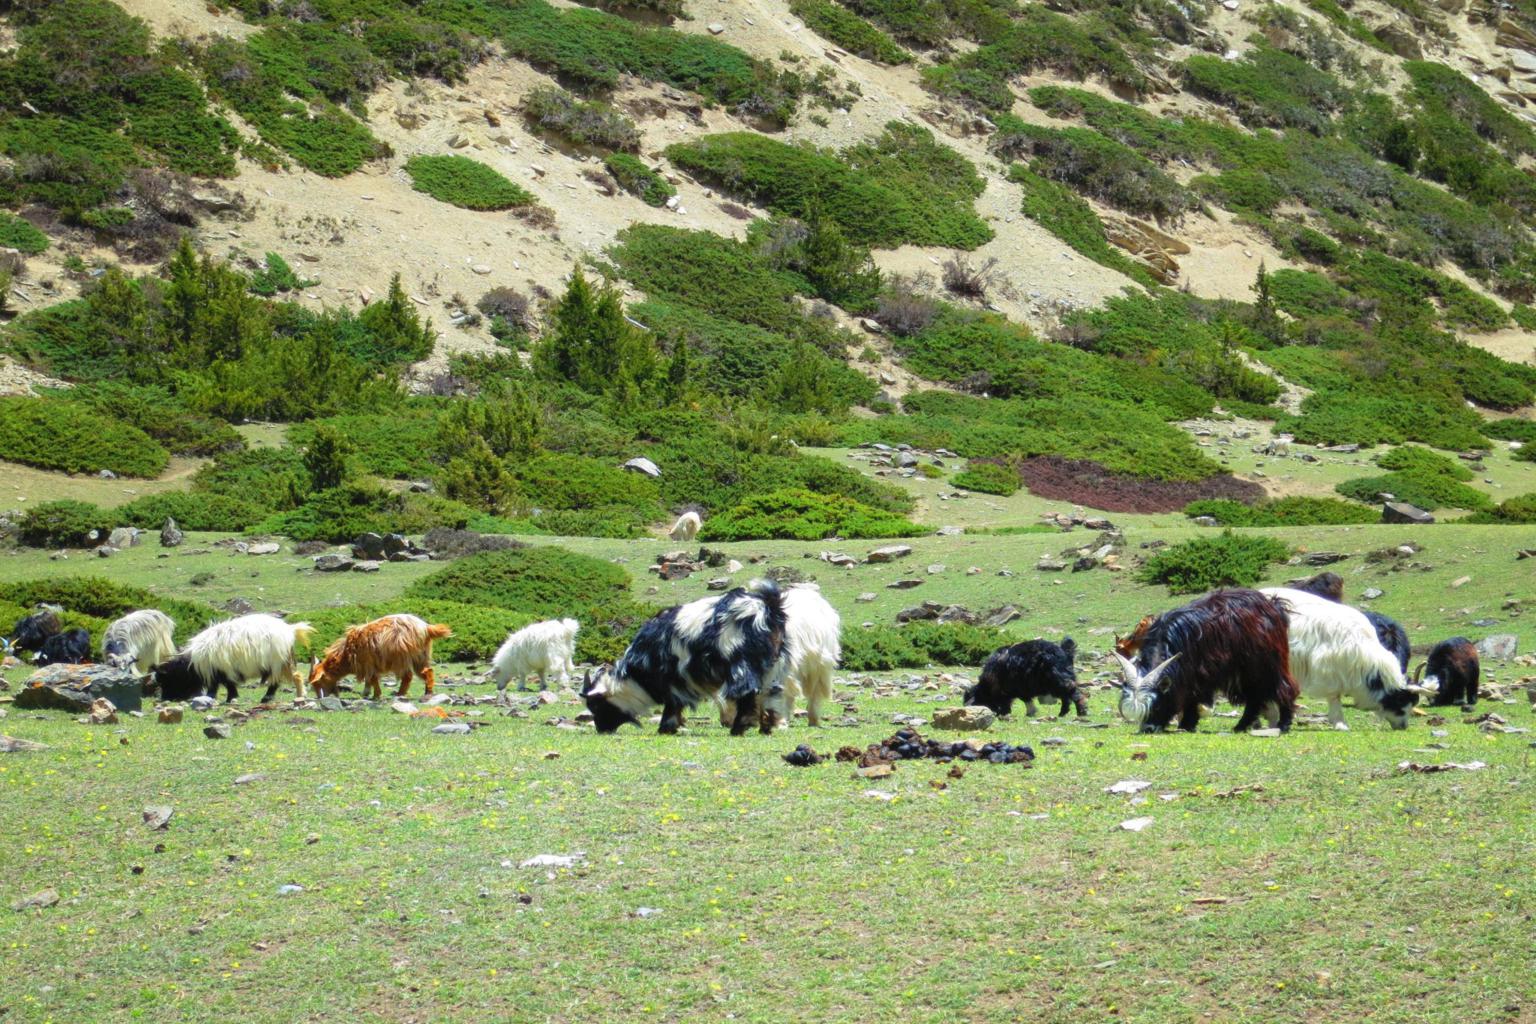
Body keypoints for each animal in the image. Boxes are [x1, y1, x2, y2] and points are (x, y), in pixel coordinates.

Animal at [308, 614, 451, 700]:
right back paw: (428, 692)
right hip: (420, 656)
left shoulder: (368, 663)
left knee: (408, 676)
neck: (347, 654)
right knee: (427, 671)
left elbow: (372, 679)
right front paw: (368, 693)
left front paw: (375, 695)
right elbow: (370, 680)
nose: (319, 697)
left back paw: (400, 694)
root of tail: (426, 628)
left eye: (317, 682)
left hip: (402, 656)